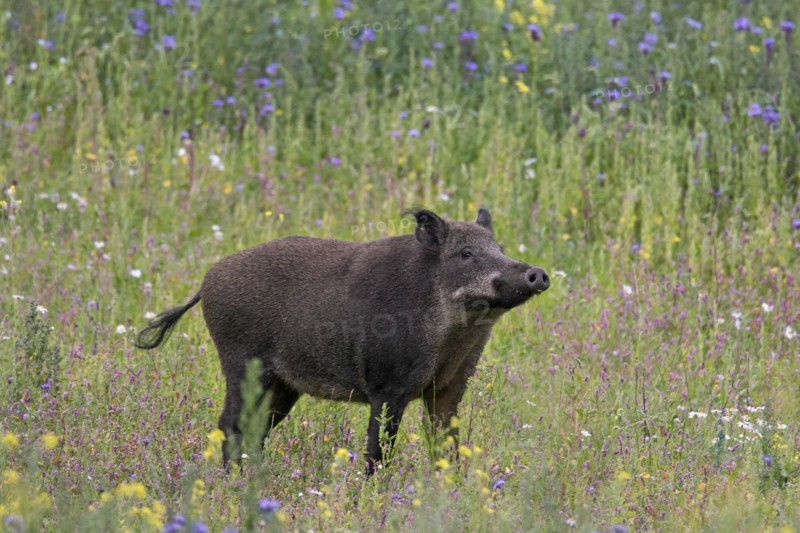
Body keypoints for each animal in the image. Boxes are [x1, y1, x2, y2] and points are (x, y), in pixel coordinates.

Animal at [135, 208, 549, 472]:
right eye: (465, 253)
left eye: (500, 249)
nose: (538, 273)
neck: (454, 335)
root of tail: (207, 281)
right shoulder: (388, 387)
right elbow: (379, 450)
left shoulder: (449, 388)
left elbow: (446, 445)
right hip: (242, 366)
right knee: (230, 425)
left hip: (283, 386)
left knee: (254, 430)